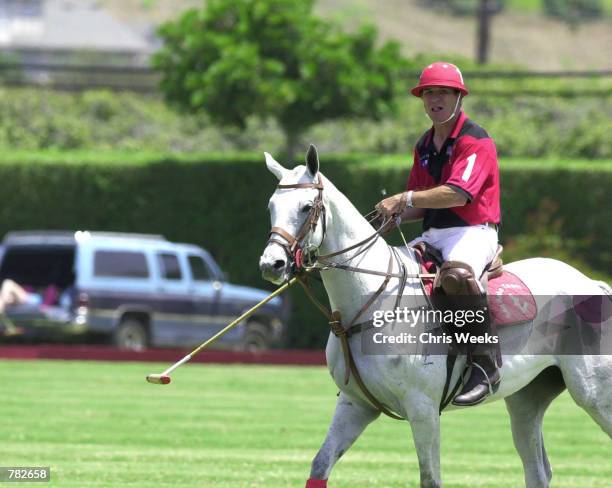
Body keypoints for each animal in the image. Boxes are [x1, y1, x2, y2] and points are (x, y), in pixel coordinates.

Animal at [260, 146, 612, 488]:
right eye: (270, 207)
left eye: (307, 206)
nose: (271, 264)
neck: (367, 303)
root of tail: (592, 282)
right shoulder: (355, 404)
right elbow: (320, 464)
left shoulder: (423, 408)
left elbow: (430, 478)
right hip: (527, 397)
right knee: (538, 471)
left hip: (594, 393)